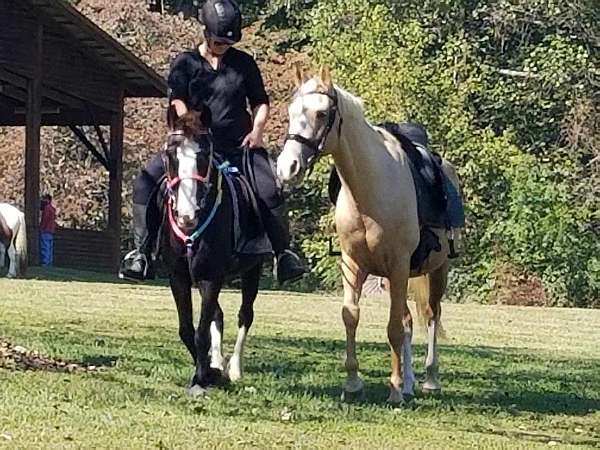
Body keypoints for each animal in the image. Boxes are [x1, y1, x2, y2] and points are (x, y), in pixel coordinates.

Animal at [159, 110, 264, 394]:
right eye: (171, 154)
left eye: (204, 156)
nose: (187, 216)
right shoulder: (179, 277)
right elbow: (187, 329)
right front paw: (209, 370)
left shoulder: (210, 277)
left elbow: (201, 332)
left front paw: (202, 377)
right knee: (219, 315)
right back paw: (218, 361)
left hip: (252, 270)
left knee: (244, 315)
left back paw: (235, 368)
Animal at [278, 66, 462, 404]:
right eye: (291, 111)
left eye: (322, 113)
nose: (288, 167)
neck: (370, 188)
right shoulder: (353, 266)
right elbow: (351, 316)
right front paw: (353, 383)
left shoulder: (399, 266)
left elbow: (393, 328)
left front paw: (394, 391)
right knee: (408, 321)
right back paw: (409, 382)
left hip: (436, 269)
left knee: (432, 314)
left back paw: (429, 379)